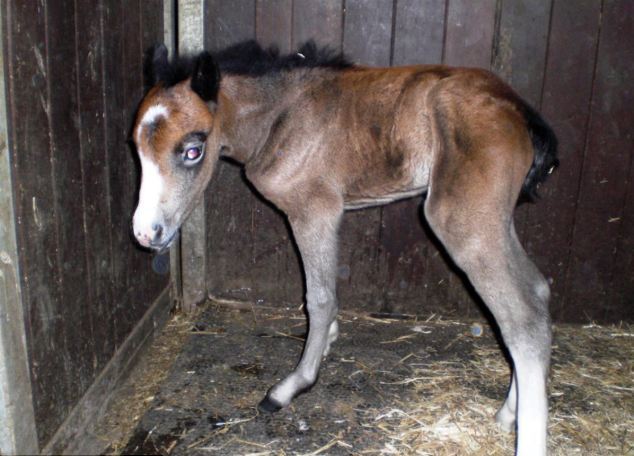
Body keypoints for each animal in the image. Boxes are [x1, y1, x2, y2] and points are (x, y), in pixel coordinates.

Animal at [132, 41, 552, 454]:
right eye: (137, 148)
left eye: (192, 150)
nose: (145, 233)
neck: (282, 117)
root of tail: (516, 107)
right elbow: (326, 292)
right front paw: (327, 342)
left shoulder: (314, 210)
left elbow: (319, 298)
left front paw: (295, 383)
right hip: (494, 220)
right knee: (537, 289)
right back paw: (508, 414)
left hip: (461, 221)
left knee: (522, 318)